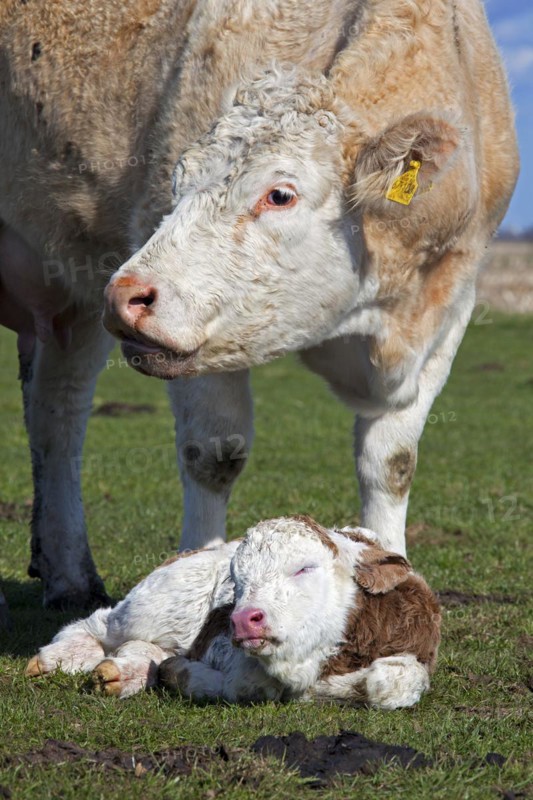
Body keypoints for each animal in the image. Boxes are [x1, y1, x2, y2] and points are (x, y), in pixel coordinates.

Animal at [0, 0, 518, 613]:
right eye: (176, 182)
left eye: (280, 194)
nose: (125, 296)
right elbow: (213, 455)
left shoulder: (448, 308)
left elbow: (390, 462)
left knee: (57, 407)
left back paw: (67, 574)